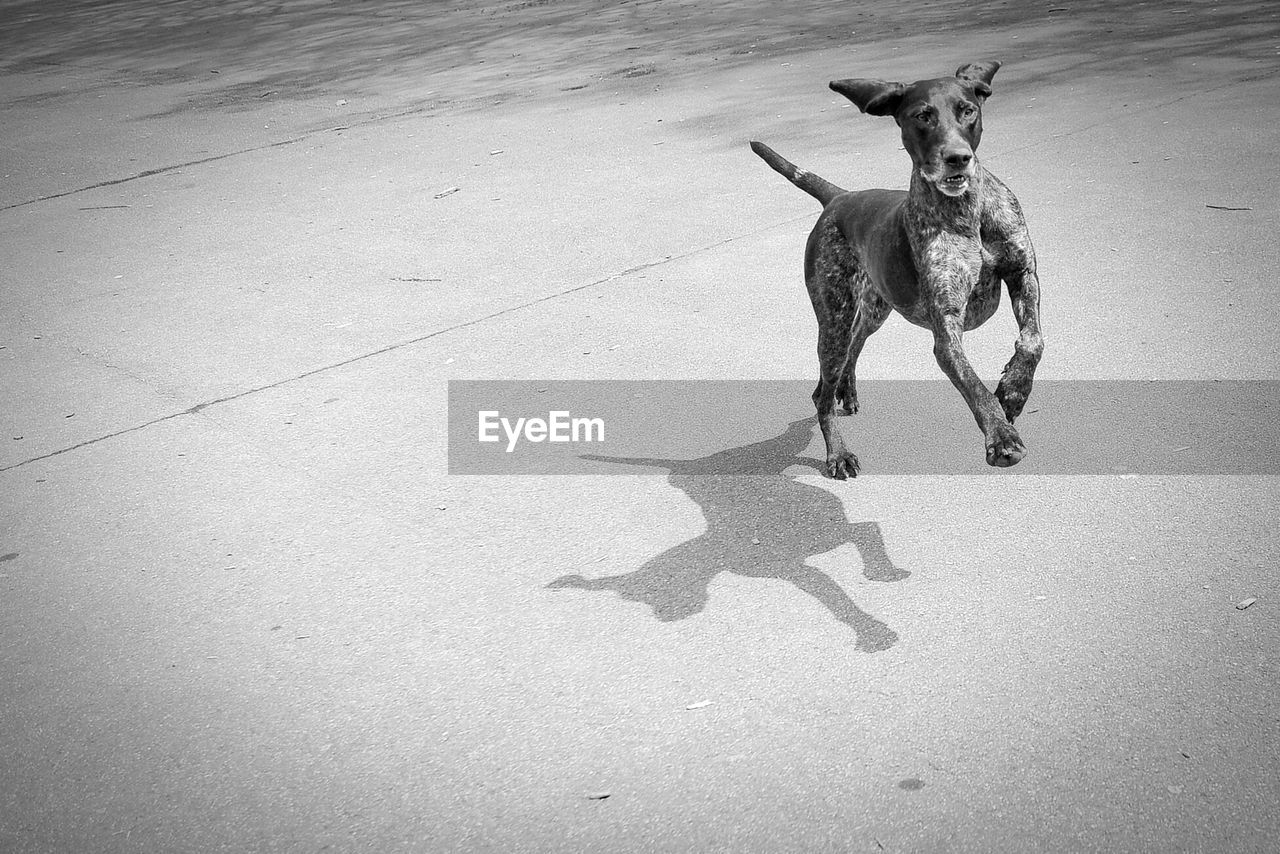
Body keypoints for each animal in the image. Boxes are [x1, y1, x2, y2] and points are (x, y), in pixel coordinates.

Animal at [747, 61, 1039, 481]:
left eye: (967, 110)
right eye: (922, 116)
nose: (957, 157)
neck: (967, 212)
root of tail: (839, 197)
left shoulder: (1023, 274)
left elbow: (1032, 341)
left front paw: (1014, 393)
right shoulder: (946, 328)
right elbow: (975, 386)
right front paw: (1001, 436)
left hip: (873, 312)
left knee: (852, 350)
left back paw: (847, 391)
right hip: (834, 320)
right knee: (821, 392)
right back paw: (838, 453)